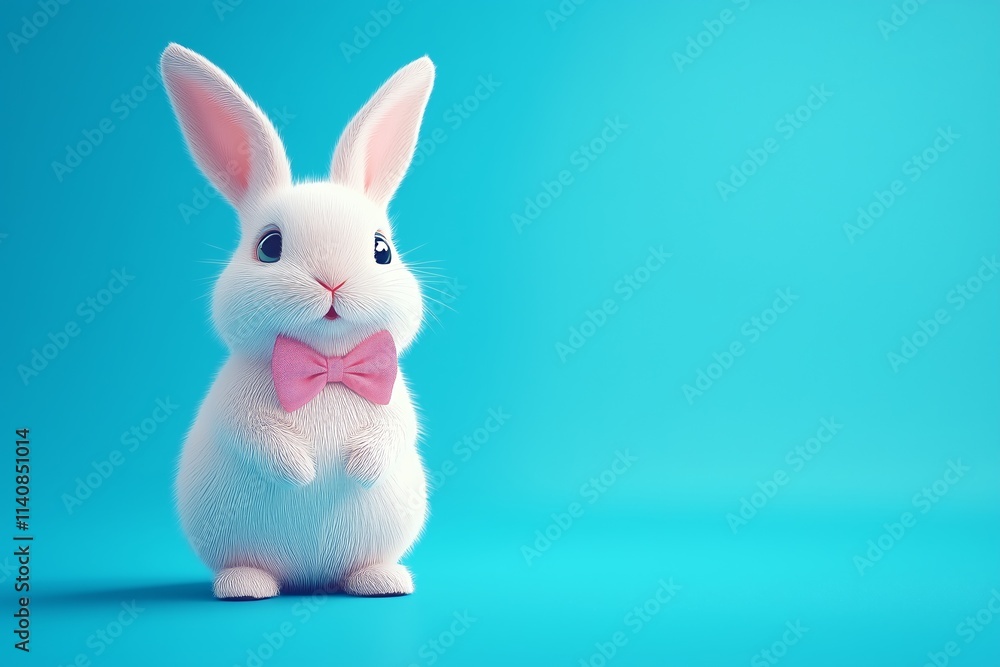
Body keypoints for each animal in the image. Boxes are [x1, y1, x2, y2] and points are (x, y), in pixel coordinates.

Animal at [160, 43, 434, 599]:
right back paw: (245, 586)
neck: (326, 365)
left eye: (382, 250)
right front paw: (303, 472)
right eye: (269, 246)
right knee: (249, 567)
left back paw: (382, 580)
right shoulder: (235, 404)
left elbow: (395, 430)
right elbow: (254, 433)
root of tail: (310, 576)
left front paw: (358, 466)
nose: (332, 282)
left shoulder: (395, 402)